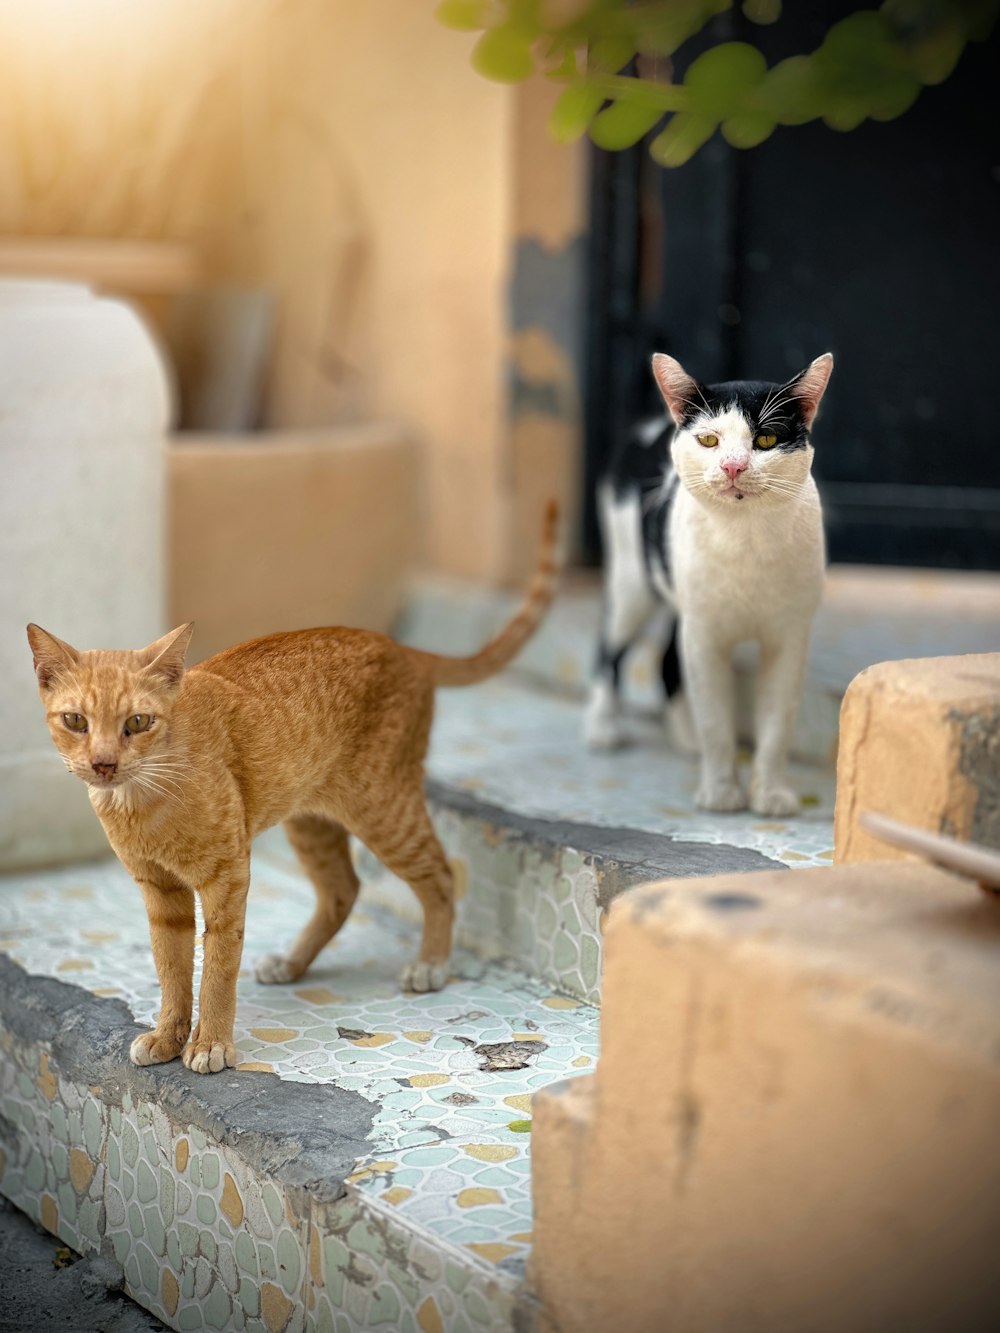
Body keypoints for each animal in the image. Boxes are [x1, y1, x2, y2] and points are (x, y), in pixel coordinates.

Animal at [27, 501, 560, 1071]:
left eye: (137, 722)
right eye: (76, 721)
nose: (103, 764)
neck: (143, 801)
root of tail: (403, 647)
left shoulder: (227, 876)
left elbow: (218, 964)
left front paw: (211, 1043)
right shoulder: (160, 892)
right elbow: (171, 970)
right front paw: (169, 1035)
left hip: (384, 811)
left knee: (440, 875)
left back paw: (431, 964)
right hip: (313, 824)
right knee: (343, 890)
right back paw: (294, 962)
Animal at [586, 349, 837, 815]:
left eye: (766, 440)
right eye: (708, 440)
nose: (733, 466)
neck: (747, 542)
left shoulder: (789, 637)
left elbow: (777, 724)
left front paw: (769, 794)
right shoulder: (704, 635)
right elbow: (716, 722)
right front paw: (721, 794)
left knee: (665, 658)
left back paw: (683, 736)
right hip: (634, 582)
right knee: (608, 646)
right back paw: (602, 726)